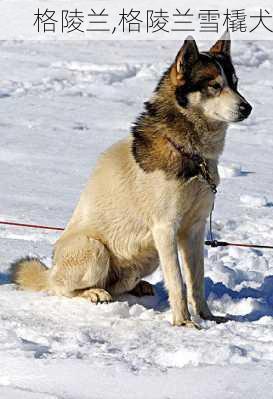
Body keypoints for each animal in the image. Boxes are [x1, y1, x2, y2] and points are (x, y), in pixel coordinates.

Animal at [10, 33, 251, 328]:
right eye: (215, 86)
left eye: (235, 83)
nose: (248, 107)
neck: (190, 153)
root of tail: (51, 269)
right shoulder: (165, 228)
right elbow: (178, 282)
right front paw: (183, 323)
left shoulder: (194, 229)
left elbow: (196, 282)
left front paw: (208, 317)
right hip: (95, 250)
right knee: (62, 288)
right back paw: (93, 292)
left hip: (147, 258)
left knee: (118, 285)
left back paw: (137, 287)